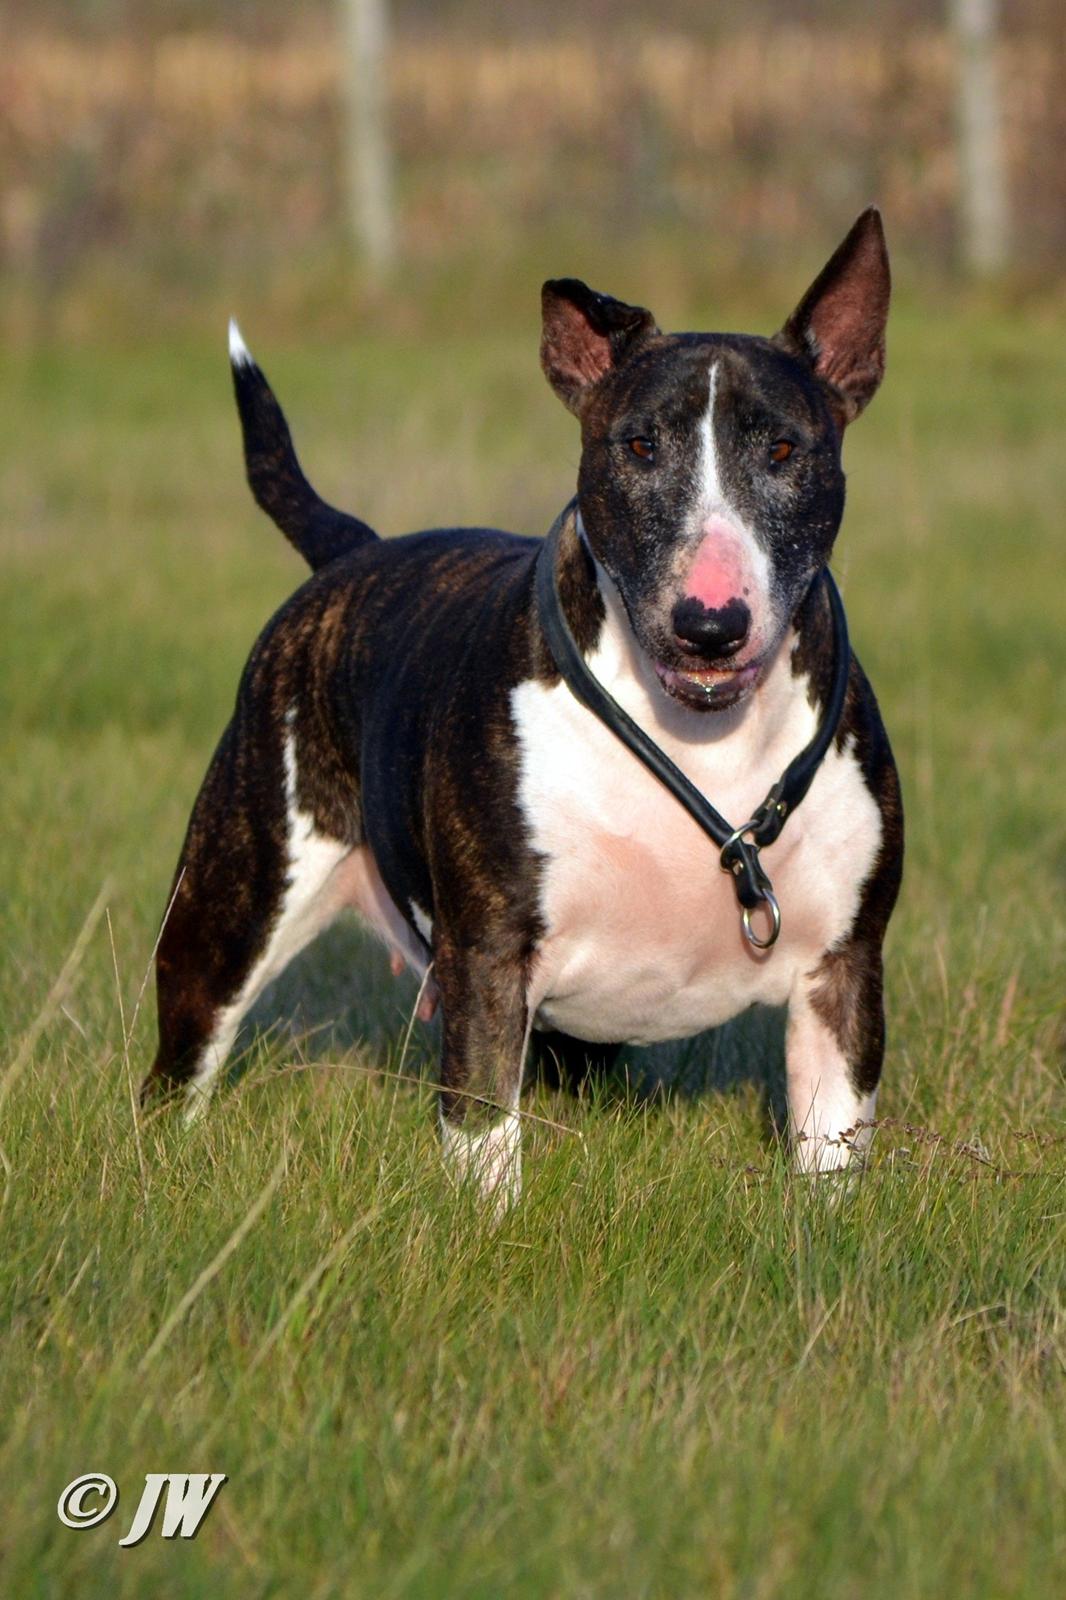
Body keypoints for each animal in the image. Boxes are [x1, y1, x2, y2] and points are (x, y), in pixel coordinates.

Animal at [143, 212, 896, 1209]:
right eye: (638, 446)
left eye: (782, 450)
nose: (709, 624)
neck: (702, 736)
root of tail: (353, 554)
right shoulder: (491, 957)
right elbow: (481, 1135)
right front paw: (486, 1226)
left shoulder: (843, 970)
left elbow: (832, 1147)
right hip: (236, 898)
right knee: (182, 1057)